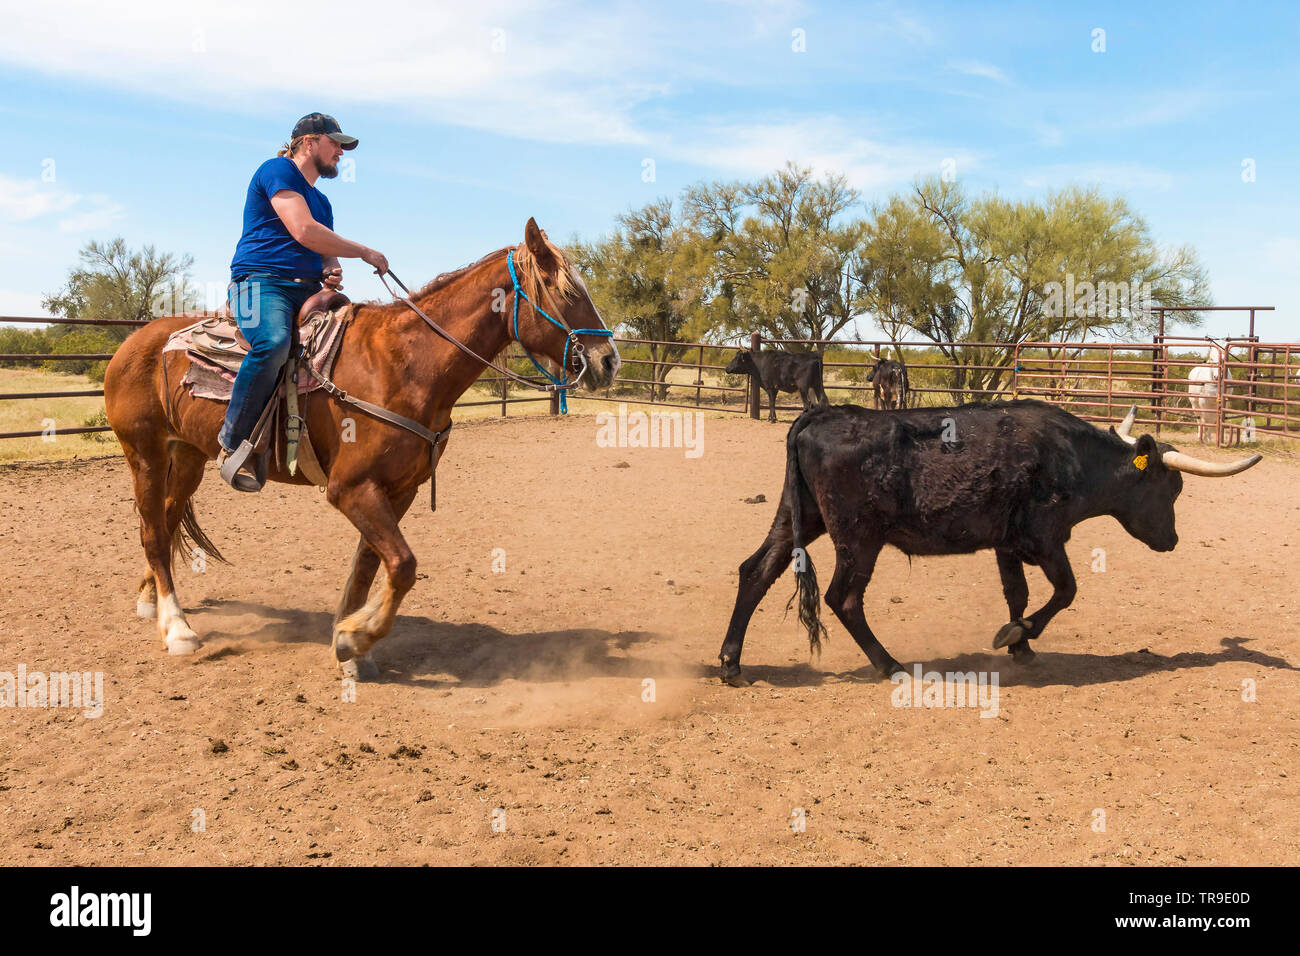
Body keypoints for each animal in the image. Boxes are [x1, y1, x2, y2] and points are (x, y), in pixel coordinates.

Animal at [104, 218, 621, 679]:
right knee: (153, 531)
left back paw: (151, 599)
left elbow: (369, 567)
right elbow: (403, 565)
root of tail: (135, 342)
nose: (609, 362)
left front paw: (350, 644)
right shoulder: (351, 488)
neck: (406, 365)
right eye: (566, 292)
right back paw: (177, 629)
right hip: (145, 455)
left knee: (165, 521)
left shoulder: (399, 490)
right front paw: (356, 637)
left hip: (187, 456)